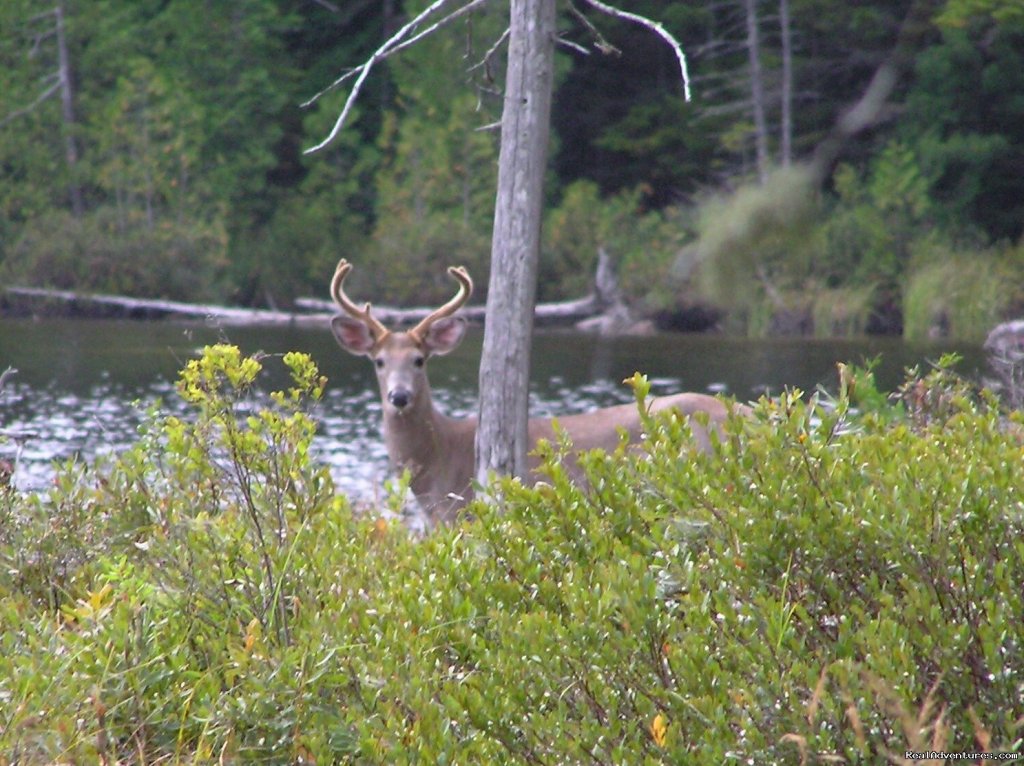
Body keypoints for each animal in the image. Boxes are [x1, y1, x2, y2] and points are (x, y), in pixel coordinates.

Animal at [331, 260, 749, 524]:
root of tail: (747, 415)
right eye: (379, 361)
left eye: (419, 360)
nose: (399, 397)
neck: (438, 464)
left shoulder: (465, 515)